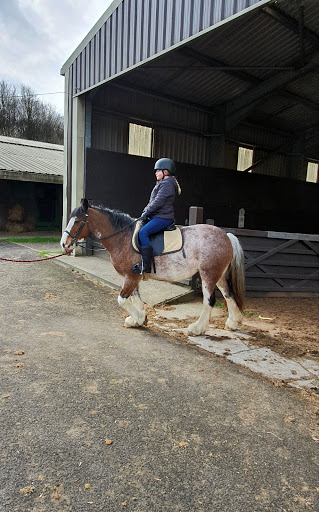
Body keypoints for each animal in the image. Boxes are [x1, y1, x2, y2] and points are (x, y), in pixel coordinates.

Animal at [60, 197, 245, 336]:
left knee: (209, 300)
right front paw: (138, 319)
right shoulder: (132, 277)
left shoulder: (131, 277)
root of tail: (226, 236)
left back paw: (197, 328)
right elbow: (136, 298)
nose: (64, 244)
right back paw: (233, 322)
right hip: (219, 276)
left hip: (208, 275)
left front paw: (139, 318)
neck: (123, 237)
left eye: (77, 221)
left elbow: (122, 300)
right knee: (228, 294)